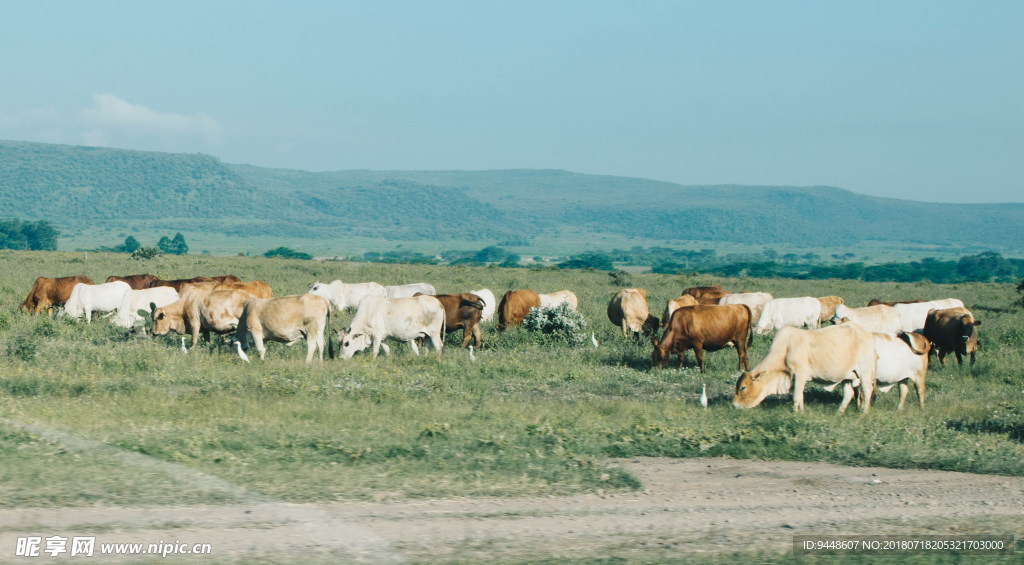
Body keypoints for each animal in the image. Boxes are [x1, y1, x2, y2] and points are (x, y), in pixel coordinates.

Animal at [733, 323, 876, 413]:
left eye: (743, 387)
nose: (734, 405)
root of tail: (867, 334)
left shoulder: (800, 375)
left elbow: (796, 397)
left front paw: (796, 413)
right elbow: (800, 397)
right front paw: (801, 411)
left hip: (864, 371)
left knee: (867, 390)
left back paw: (864, 412)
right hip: (848, 376)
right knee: (849, 394)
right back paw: (839, 412)